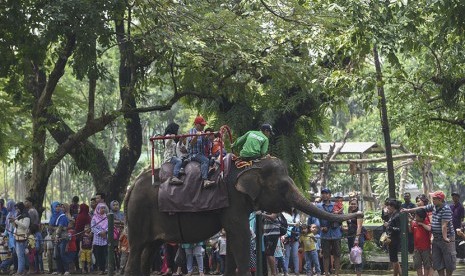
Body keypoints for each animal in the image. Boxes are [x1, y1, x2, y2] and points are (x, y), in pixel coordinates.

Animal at [124, 157, 362, 276]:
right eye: (283, 186)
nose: (360, 211)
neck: (249, 165)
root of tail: (131, 185)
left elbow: (233, 239)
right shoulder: (233, 200)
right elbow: (239, 236)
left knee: (149, 251)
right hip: (139, 214)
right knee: (137, 250)